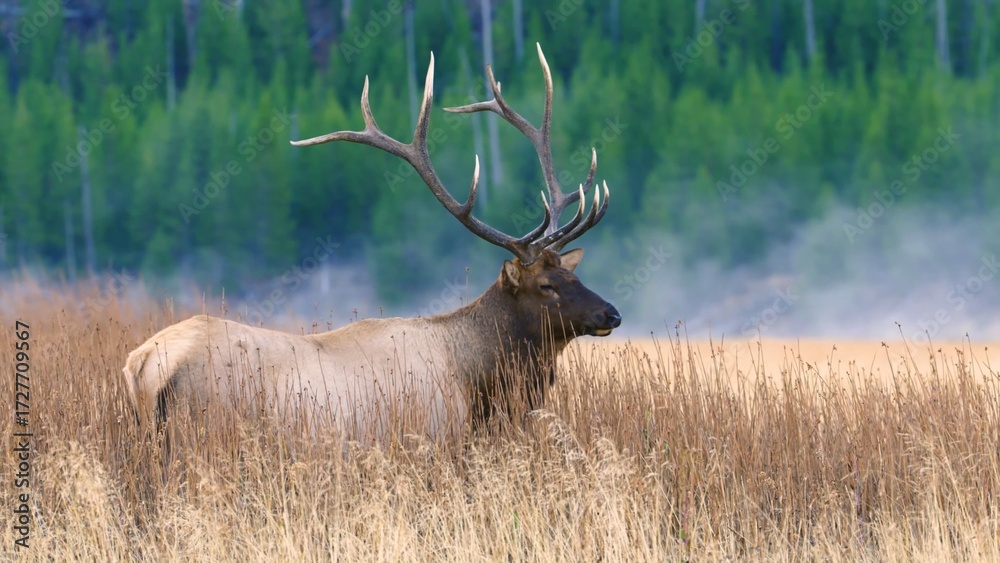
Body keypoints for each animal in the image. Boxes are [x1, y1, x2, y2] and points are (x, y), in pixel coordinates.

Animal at [123, 44, 621, 444]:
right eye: (546, 287)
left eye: (574, 274)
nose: (612, 313)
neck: (478, 385)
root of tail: (140, 365)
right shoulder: (433, 438)